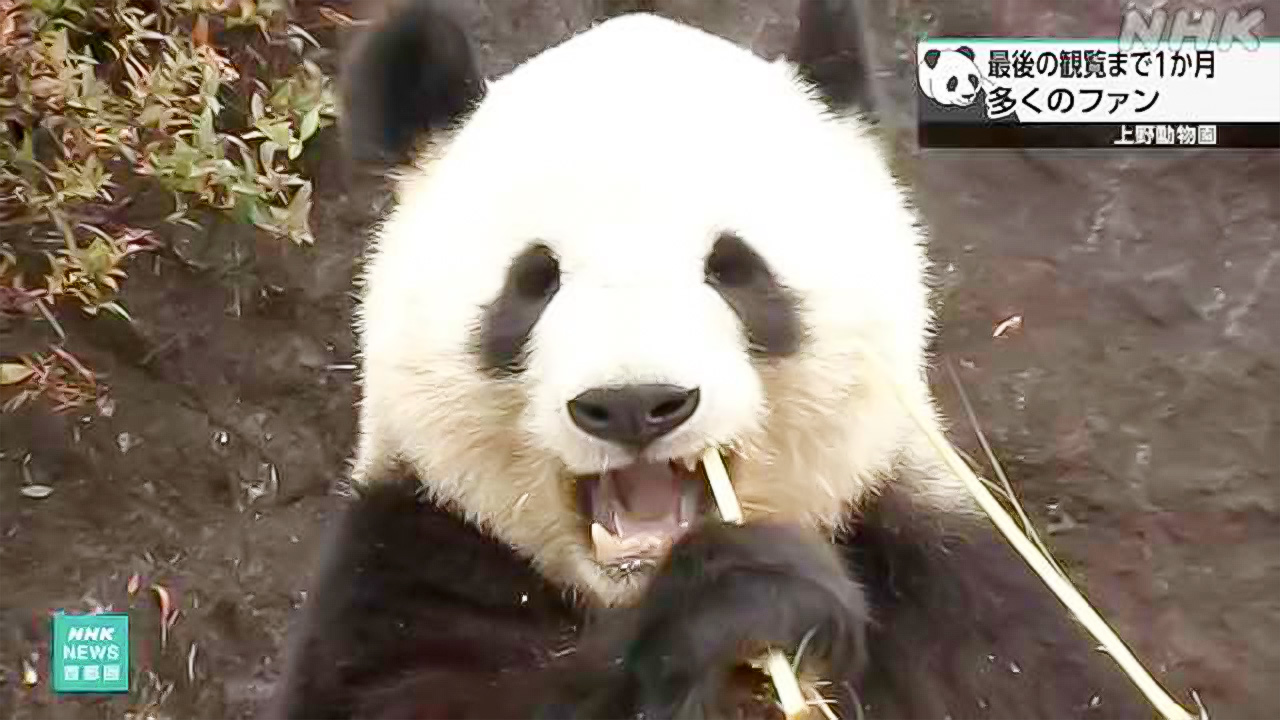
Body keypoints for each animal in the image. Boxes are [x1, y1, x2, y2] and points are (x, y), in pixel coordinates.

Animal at [266, 1, 1148, 718]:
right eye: (534, 281)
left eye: (733, 268)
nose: (634, 404)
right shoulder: (410, 562)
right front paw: (742, 602)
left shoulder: (954, 593)